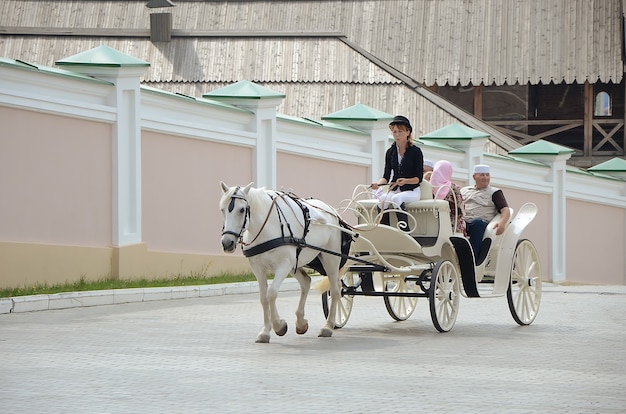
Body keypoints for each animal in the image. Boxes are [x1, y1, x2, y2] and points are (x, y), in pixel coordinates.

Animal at [219, 182, 344, 342]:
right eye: (222, 209)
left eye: (241, 209)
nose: (227, 243)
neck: (265, 229)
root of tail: (331, 210)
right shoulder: (258, 268)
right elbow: (263, 298)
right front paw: (265, 331)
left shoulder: (283, 265)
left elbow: (271, 293)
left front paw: (279, 326)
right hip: (295, 263)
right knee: (306, 282)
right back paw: (301, 322)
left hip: (330, 259)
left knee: (335, 290)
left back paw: (328, 326)